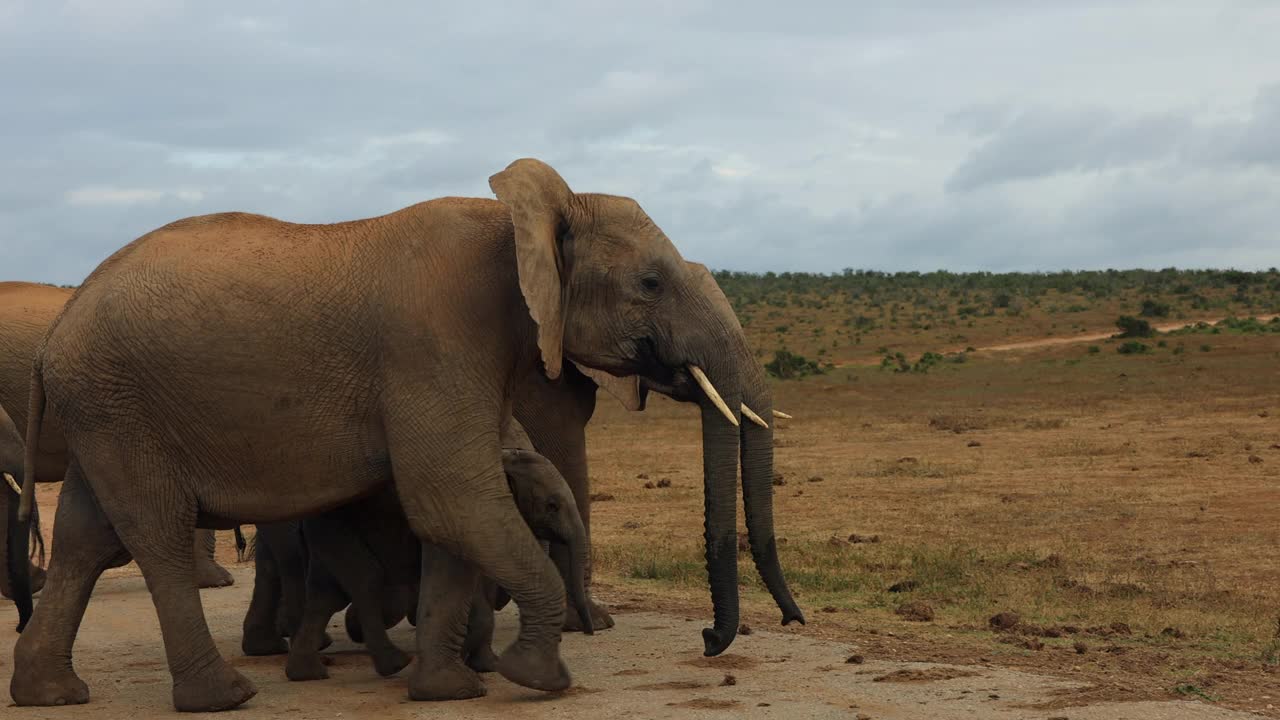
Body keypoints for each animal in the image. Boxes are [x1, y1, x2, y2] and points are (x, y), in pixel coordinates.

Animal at [280, 443, 588, 681]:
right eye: (552, 506)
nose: (587, 631)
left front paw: (485, 665)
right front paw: (471, 662)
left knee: (325, 594)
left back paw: (307, 673)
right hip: (339, 530)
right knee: (366, 580)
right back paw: (394, 664)